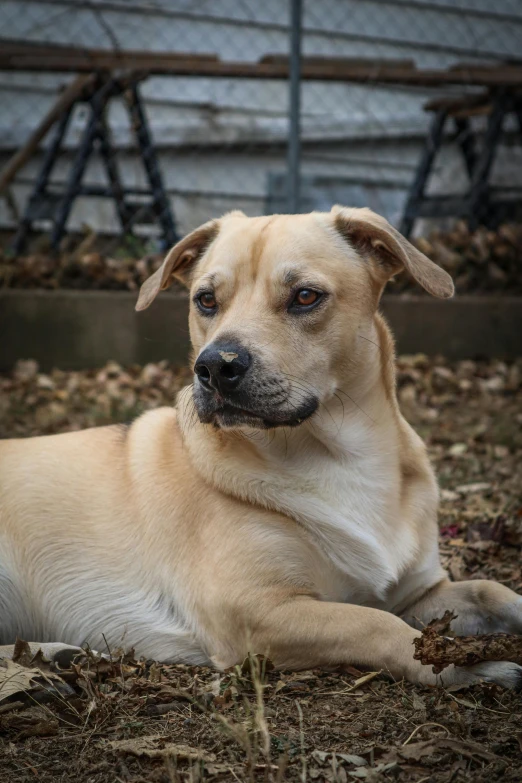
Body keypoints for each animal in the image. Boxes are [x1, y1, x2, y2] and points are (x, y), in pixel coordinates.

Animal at [1, 208, 520, 688]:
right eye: (205, 300)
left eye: (305, 296)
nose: (214, 366)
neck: (340, 457)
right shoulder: (256, 611)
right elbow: (382, 627)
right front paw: (470, 667)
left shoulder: (420, 593)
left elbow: (491, 590)